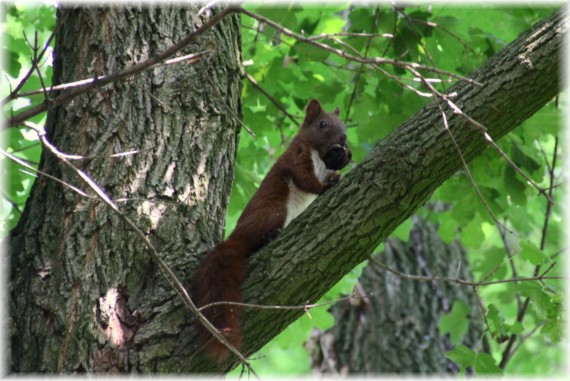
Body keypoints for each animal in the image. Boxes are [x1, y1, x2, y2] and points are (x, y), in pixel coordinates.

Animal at [191, 98, 350, 360]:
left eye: (343, 123)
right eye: (322, 124)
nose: (344, 139)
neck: (317, 153)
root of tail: (235, 238)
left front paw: (339, 168)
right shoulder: (297, 158)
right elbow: (306, 180)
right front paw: (326, 186)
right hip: (273, 211)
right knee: (253, 243)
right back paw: (269, 237)